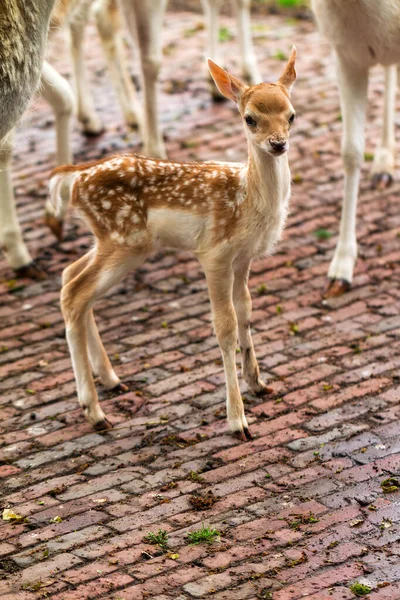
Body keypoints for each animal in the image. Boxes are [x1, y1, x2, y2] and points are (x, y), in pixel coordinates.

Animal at [49, 48, 296, 436]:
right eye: (250, 119)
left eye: (291, 116)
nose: (278, 143)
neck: (247, 201)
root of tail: (76, 177)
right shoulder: (214, 254)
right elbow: (224, 326)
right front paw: (237, 420)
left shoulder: (243, 257)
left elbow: (245, 311)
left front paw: (259, 383)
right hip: (123, 239)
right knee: (75, 293)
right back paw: (94, 410)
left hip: (112, 239)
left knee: (69, 276)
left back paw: (111, 379)